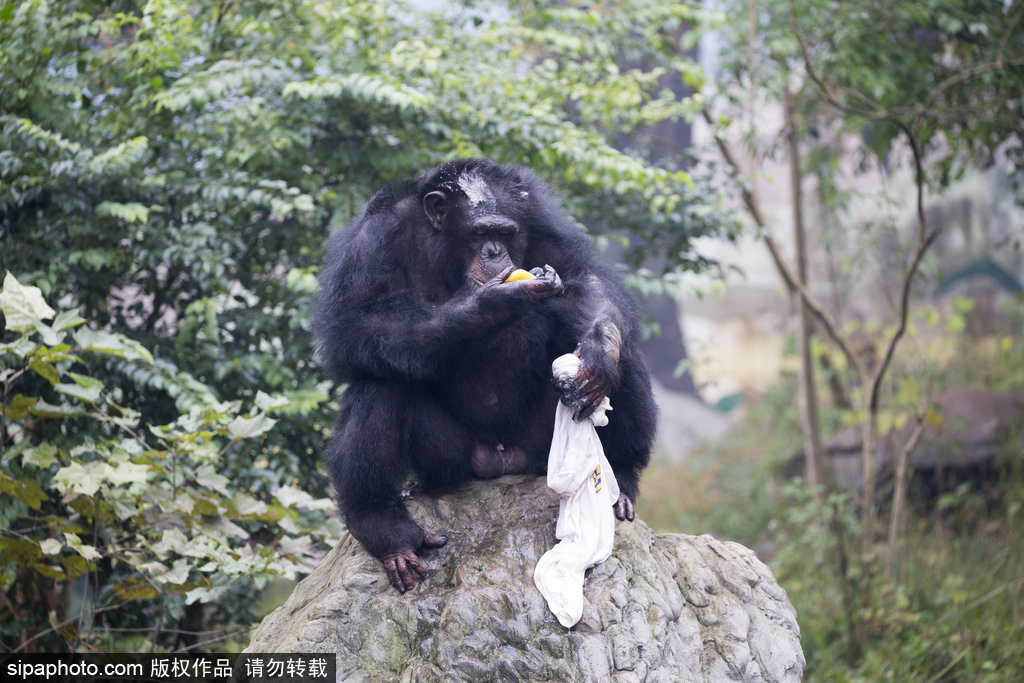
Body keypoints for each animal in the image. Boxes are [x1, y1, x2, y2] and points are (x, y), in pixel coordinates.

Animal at [311, 160, 659, 593]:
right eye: (479, 234)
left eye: (505, 233)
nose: (494, 252)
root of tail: (501, 462)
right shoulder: (371, 240)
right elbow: (357, 322)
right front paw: (487, 305)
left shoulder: (539, 218)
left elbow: (583, 276)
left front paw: (599, 345)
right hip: (452, 458)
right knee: (381, 381)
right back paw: (385, 528)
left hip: (538, 450)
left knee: (624, 354)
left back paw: (622, 474)